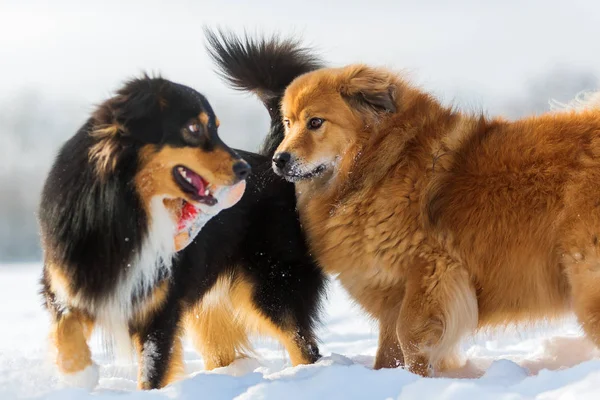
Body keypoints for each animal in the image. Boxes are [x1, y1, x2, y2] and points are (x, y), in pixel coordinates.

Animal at [38, 44, 326, 390]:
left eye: (216, 127)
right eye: (193, 128)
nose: (243, 170)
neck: (128, 212)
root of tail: (273, 161)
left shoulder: (161, 308)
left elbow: (152, 372)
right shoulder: (66, 282)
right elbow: (65, 329)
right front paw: (78, 374)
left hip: (271, 288)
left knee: (305, 346)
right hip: (210, 311)